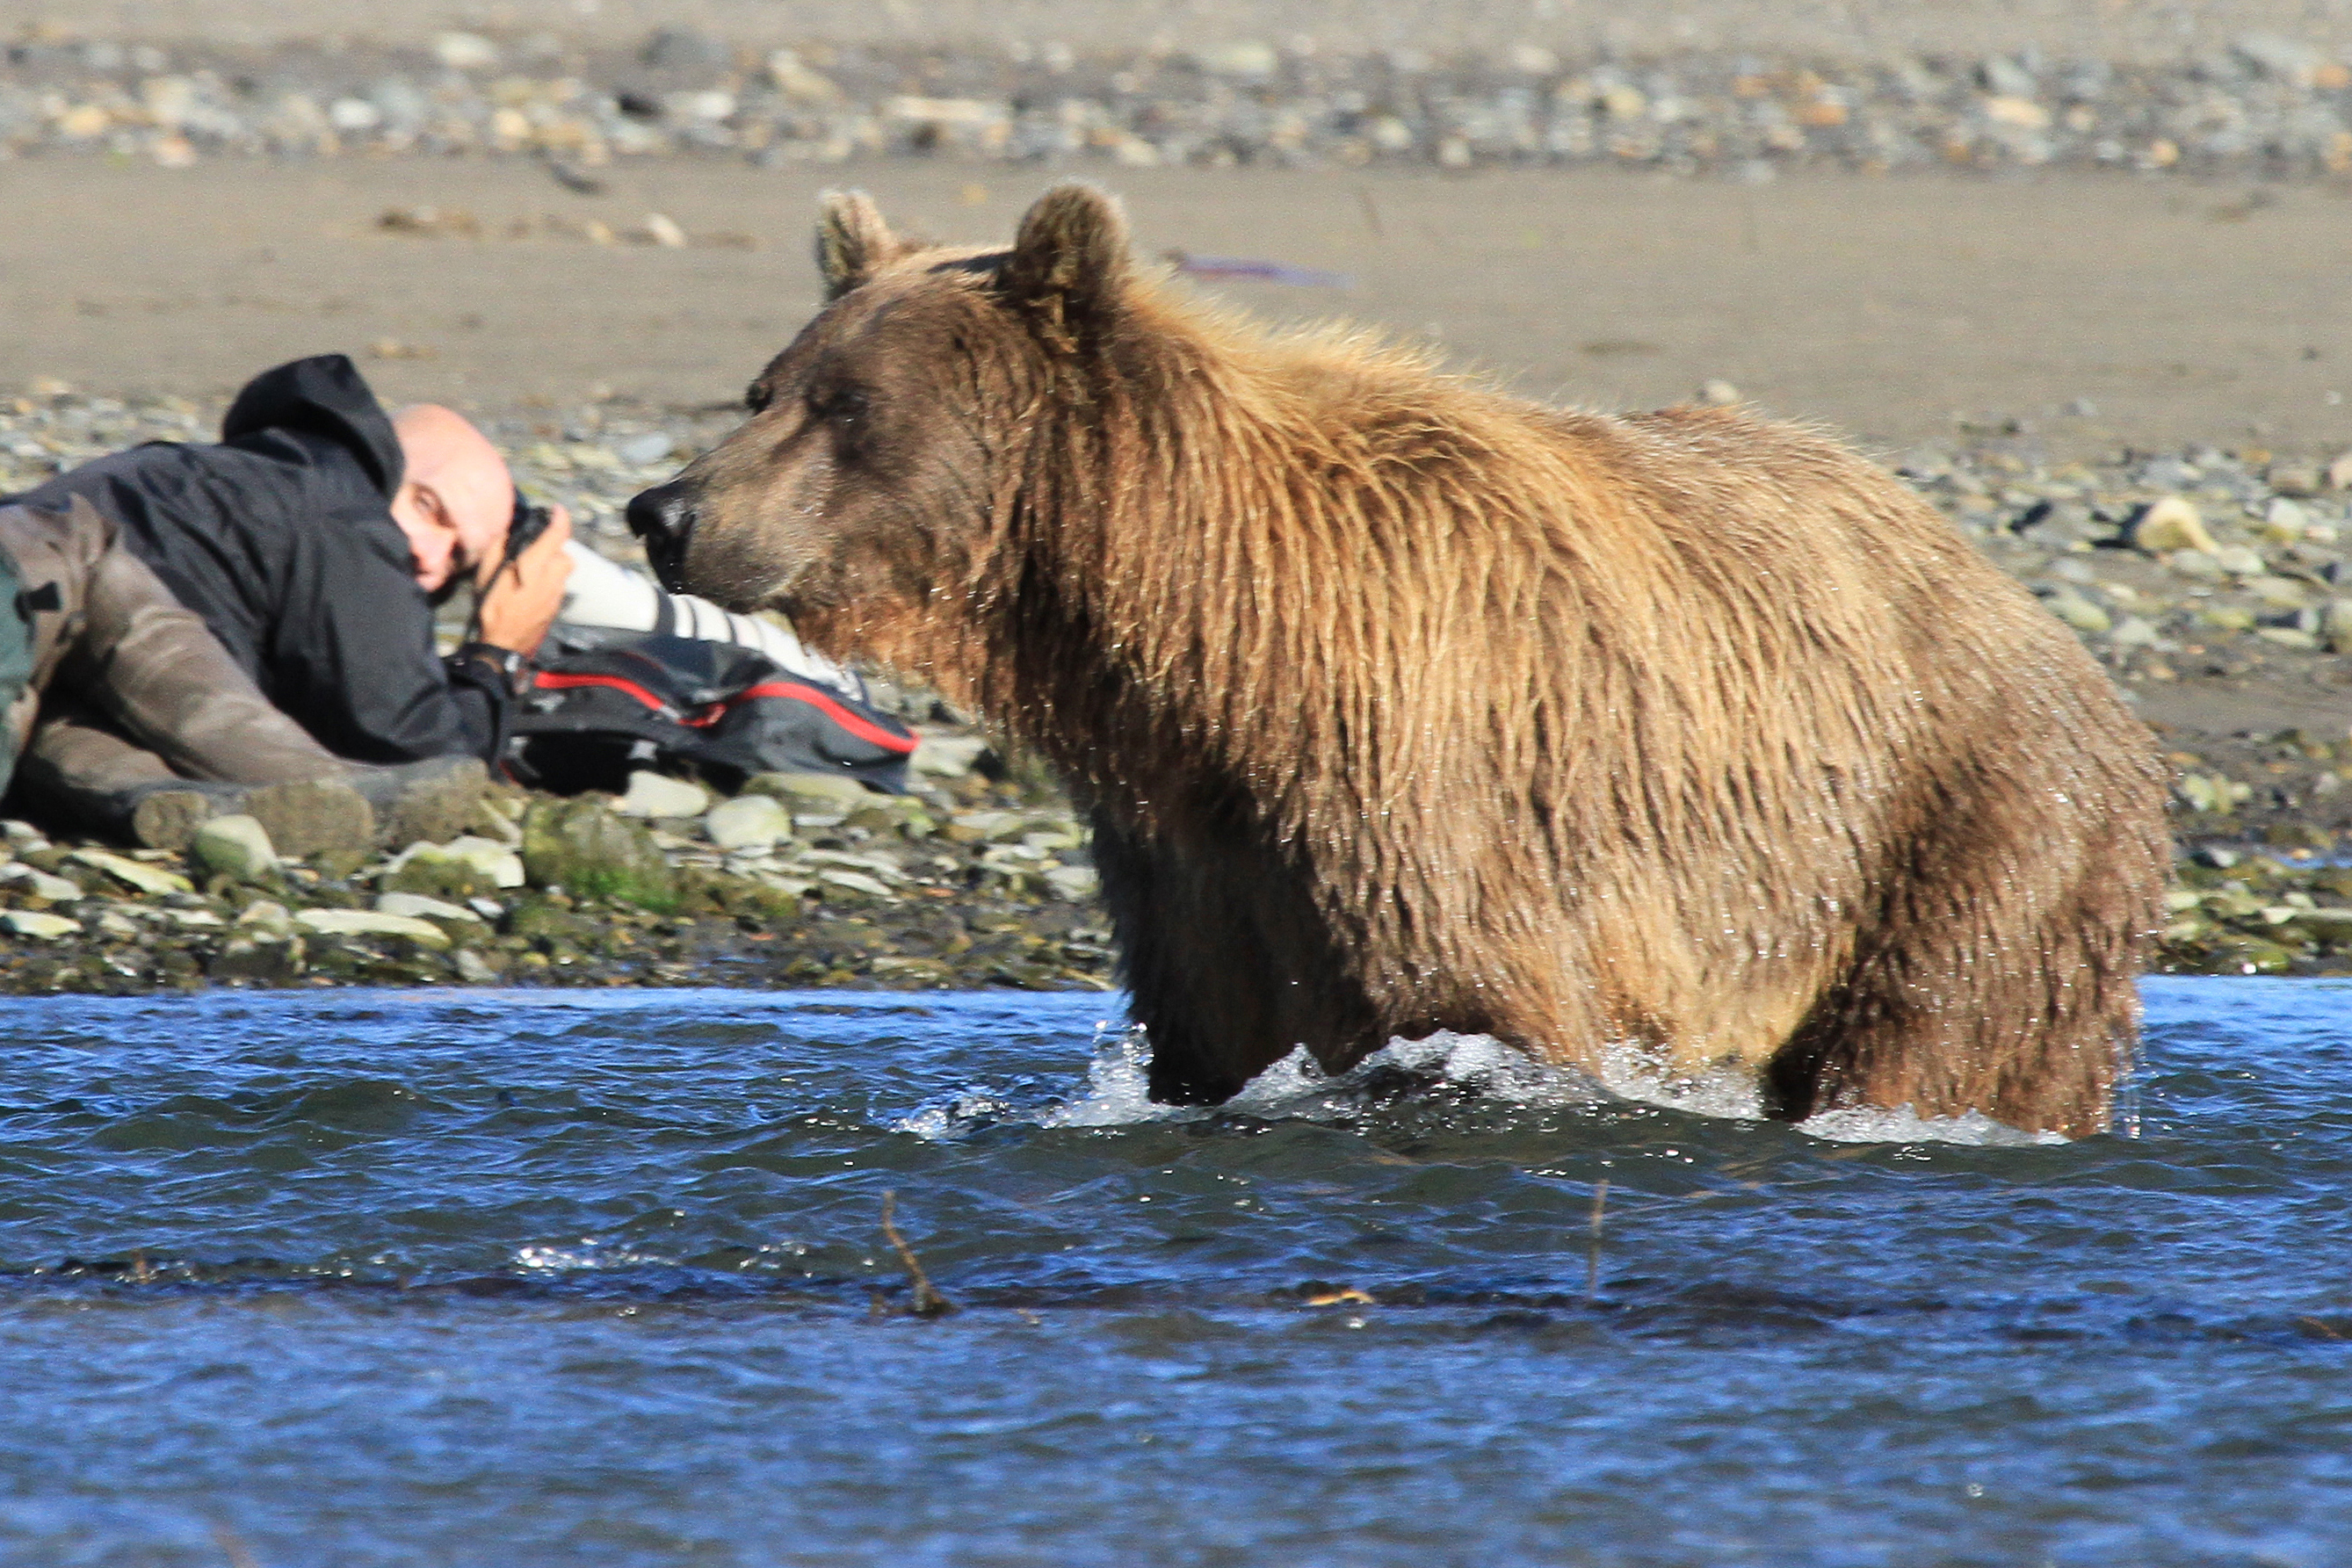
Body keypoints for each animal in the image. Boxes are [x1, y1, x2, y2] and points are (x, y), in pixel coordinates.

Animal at [630, 186, 2163, 1142]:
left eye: (848, 404)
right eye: (764, 387)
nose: (667, 510)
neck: (1208, 649)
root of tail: (2031, 614)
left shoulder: (1421, 783)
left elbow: (1465, 1011)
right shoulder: (1194, 860)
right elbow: (1212, 1028)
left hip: (1965, 820)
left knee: (1949, 1025)